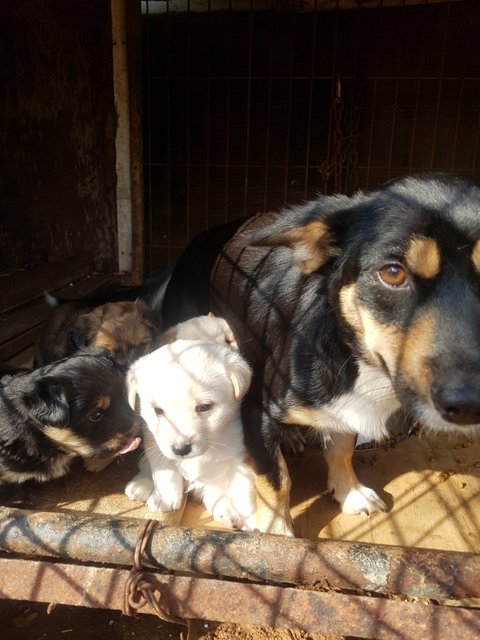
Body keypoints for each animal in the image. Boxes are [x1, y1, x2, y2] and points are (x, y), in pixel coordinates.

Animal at [125, 339, 256, 531]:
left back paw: (227, 515)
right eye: (158, 410)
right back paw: (140, 486)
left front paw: (249, 521)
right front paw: (165, 498)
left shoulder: (238, 458)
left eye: (204, 407)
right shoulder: (154, 443)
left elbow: (242, 489)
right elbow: (165, 471)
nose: (181, 449)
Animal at [160, 172, 480, 536]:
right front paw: (276, 534)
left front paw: (349, 491)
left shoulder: (347, 409)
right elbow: (276, 479)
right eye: (392, 273)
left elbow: (342, 447)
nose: (469, 405)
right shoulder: (257, 413)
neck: (358, 360)